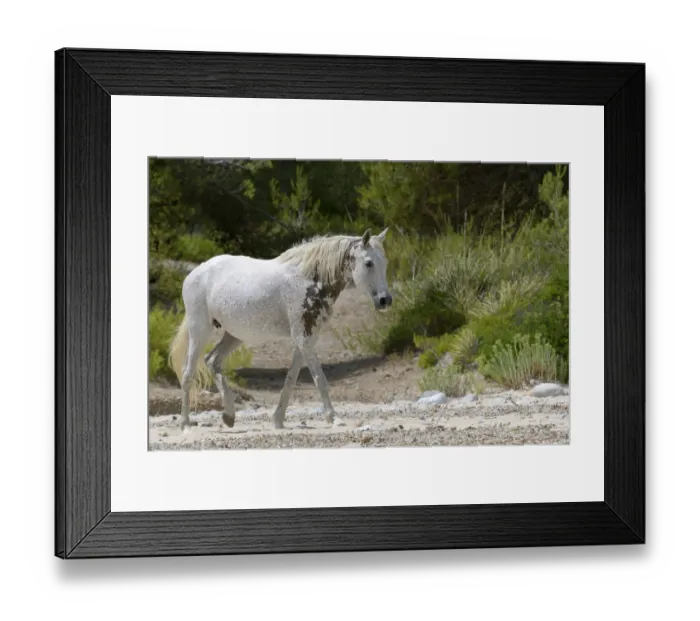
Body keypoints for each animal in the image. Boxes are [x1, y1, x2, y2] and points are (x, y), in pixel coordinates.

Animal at [168, 227, 392, 431]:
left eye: (385, 262)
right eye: (368, 263)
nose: (385, 300)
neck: (310, 279)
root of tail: (194, 273)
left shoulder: (306, 339)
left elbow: (291, 379)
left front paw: (278, 420)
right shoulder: (304, 338)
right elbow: (320, 379)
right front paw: (334, 418)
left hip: (234, 336)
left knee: (212, 361)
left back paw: (229, 416)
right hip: (200, 331)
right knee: (188, 373)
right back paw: (186, 424)